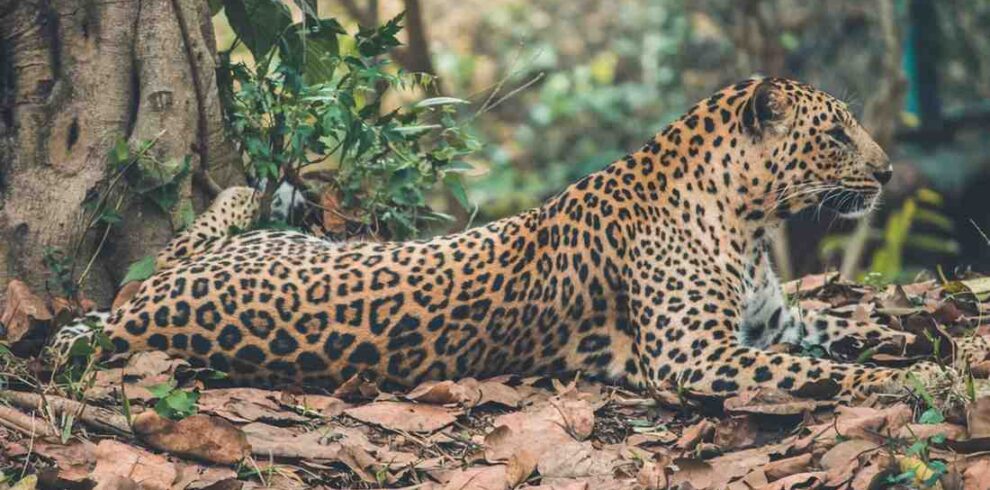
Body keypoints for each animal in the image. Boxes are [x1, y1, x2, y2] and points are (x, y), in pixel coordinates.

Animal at [50, 77, 987, 400]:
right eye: (835, 134)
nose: (890, 172)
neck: (751, 221)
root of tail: (135, 323)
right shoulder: (696, 357)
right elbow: (819, 370)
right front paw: (913, 377)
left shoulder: (773, 319)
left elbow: (843, 328)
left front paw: (926, 339)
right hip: (237, 261)